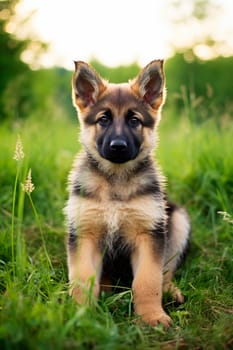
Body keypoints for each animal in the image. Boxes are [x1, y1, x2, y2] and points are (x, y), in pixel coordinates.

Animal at [64, 60, 190, 328]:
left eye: (134, 120)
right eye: (103, 119)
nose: (118, 147)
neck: (116, 181)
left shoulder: (149, 235)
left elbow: (148, 281)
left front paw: (152, 316)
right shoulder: (84, 234)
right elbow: (82, 278)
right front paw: (81, 314)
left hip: (178, 221)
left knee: (166, 272)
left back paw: (171, 292)